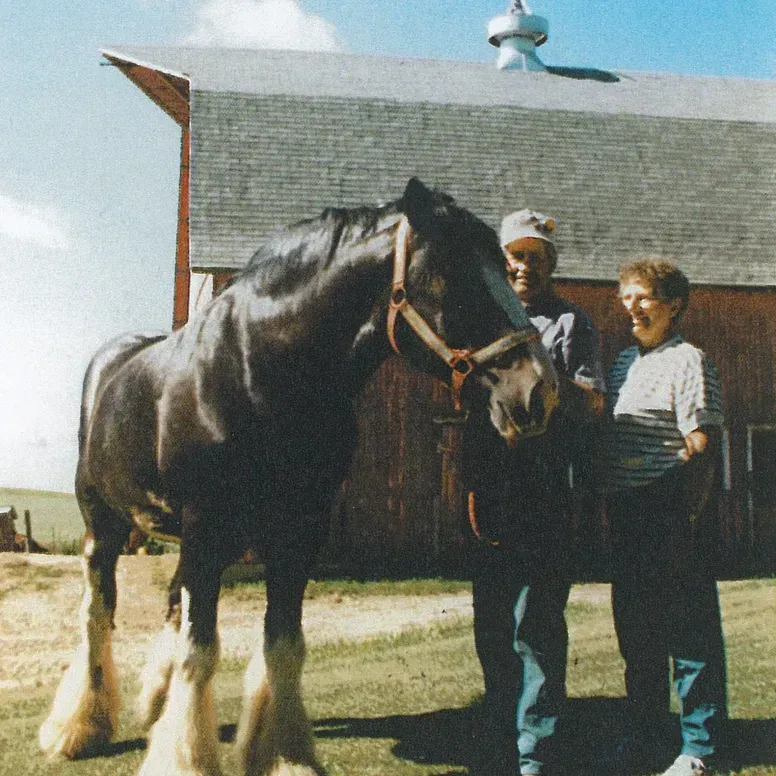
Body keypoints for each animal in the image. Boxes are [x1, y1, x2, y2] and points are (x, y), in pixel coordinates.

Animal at [39, 178, 560, 776]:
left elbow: (283, 645)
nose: (539, 391)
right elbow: (201, 648)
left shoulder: (297, 533)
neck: (257, 373)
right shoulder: (207, 527)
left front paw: (284, 756)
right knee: (97, 613)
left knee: (169, 605)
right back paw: (79, 726)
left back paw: (153, 704)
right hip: (104, 523)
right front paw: (186, 758)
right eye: (449, 277)